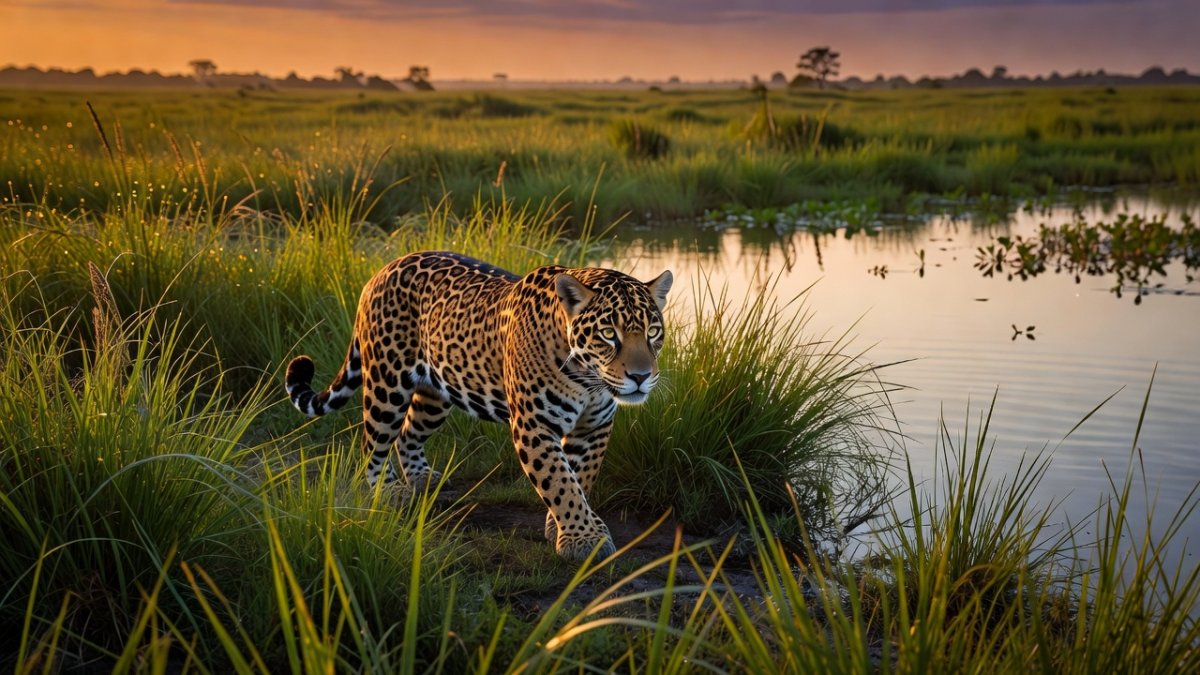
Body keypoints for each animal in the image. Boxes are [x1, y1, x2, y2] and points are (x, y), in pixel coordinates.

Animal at [285, 251, 672, 561]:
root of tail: (382, 270)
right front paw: (584, 538)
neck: (588, 378)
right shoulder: (534, 425)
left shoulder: (594, 428)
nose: (640, 376)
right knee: (373, 441)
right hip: (387, 384)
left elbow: (579, 477)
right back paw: (388, 492)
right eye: (608, 334)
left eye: (653, 332)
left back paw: (422, 479)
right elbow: (560, 480)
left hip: (436, 394)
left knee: (408, 434)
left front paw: (561, 526)